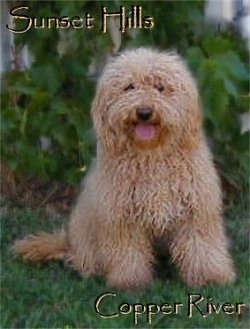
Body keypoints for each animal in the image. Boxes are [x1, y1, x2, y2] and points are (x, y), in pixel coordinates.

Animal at [14, 47, 236, 288]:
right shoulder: (122, 216)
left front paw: (210, 276)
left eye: (160, 87)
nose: (144, 112)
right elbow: (128, 252)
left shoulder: (196, 210)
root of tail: (69, 243)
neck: (151, 155)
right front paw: (129, 281)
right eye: (129, 87)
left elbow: (201, 246)